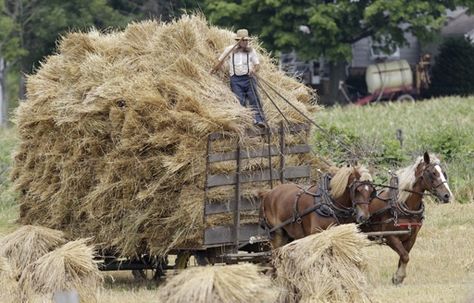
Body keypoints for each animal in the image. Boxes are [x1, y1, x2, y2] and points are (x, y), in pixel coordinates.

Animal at [362, 153, 452, 286]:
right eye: (432, 173)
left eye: (444, 173)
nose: (447, 195)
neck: (403, 204)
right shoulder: (390, 237)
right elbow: (405, 256)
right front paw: (399, 277)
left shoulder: (411, 237)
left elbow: (403, 257)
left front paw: (397, 278)